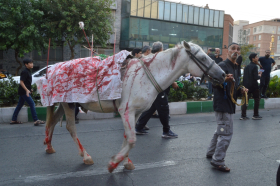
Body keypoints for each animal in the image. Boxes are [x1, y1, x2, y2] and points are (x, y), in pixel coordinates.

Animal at [43, 41, 225, 173]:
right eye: (202, 58)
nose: (223, 74)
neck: (144, 76)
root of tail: (53, 68)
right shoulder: (126, 111)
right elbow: (131, 139)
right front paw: (113, 163)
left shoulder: (136, 113)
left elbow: (127, 137)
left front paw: (126, 162)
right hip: (68, 104)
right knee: (70, 127)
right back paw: (86, 156)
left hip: (67, 103)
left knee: (53, 122)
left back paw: (49, 147)